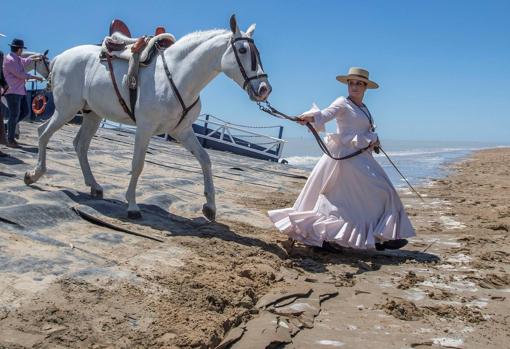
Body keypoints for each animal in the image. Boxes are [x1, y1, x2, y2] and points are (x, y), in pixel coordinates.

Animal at [24, 16, 270, 220]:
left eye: (258, 52)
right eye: (242, 50)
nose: (264, 89)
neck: (177, 75)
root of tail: (60, 58)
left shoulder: (182, 131)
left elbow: (205, 160)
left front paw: (210, 207)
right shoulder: (145, 128)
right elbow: (138, 164)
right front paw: (132, 206)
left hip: (91, 114)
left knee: (80, 145)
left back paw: (94, 185)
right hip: (66, 109)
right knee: (43, 133)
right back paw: (34, 174)